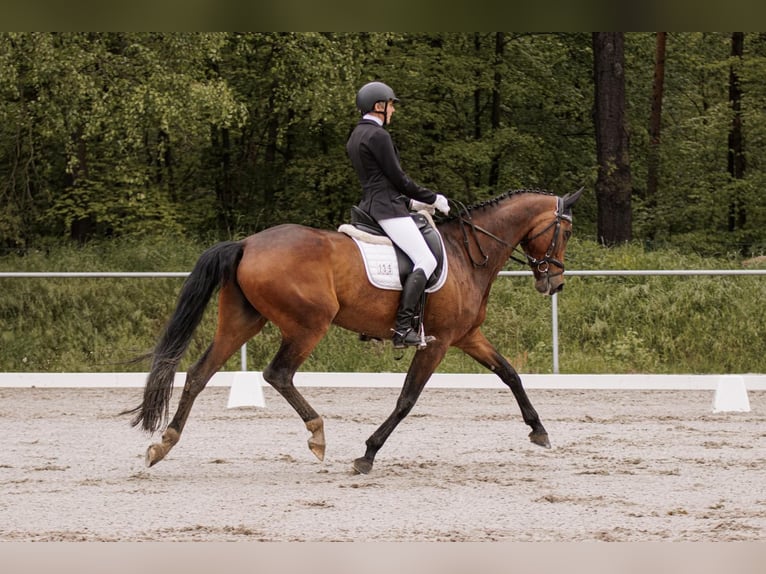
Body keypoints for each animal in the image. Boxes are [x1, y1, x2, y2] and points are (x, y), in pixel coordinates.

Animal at [123, 187, 584, 474]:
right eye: (565, 230)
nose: (555, 283)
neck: (467, 254)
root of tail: (247, 243)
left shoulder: (467, 336)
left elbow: (510, 373)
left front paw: (538, 430)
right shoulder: (436, 343)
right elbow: (407, 399)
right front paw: (368, 454)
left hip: (242, 321)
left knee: (199, 374)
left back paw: (163, 444)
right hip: (309, 323)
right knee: (278, 374)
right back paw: (317, 435)